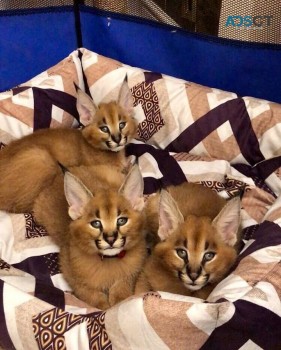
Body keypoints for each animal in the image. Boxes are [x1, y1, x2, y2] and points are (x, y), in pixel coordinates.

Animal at [32, 164, 145, 308]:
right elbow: (91, 295)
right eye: (95, 223)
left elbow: (122, 290)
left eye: (121, 221)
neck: (109, 261)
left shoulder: (131, 273)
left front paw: (119, 303)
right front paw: (104, 307)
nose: (110, 239)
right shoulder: (71, 272)